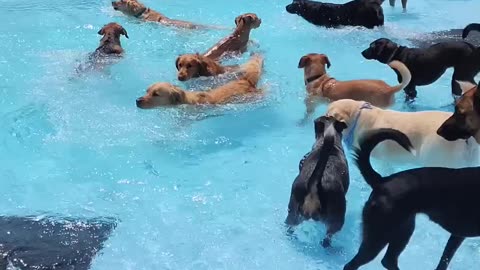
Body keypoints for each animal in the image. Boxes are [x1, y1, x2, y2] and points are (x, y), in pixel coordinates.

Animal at [346, 128, 480, 270]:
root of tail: (382, 180)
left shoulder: (457, 236)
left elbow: (444, 261)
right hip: (379, 235)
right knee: (352, 264)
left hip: (403, 230)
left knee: (388, 260)